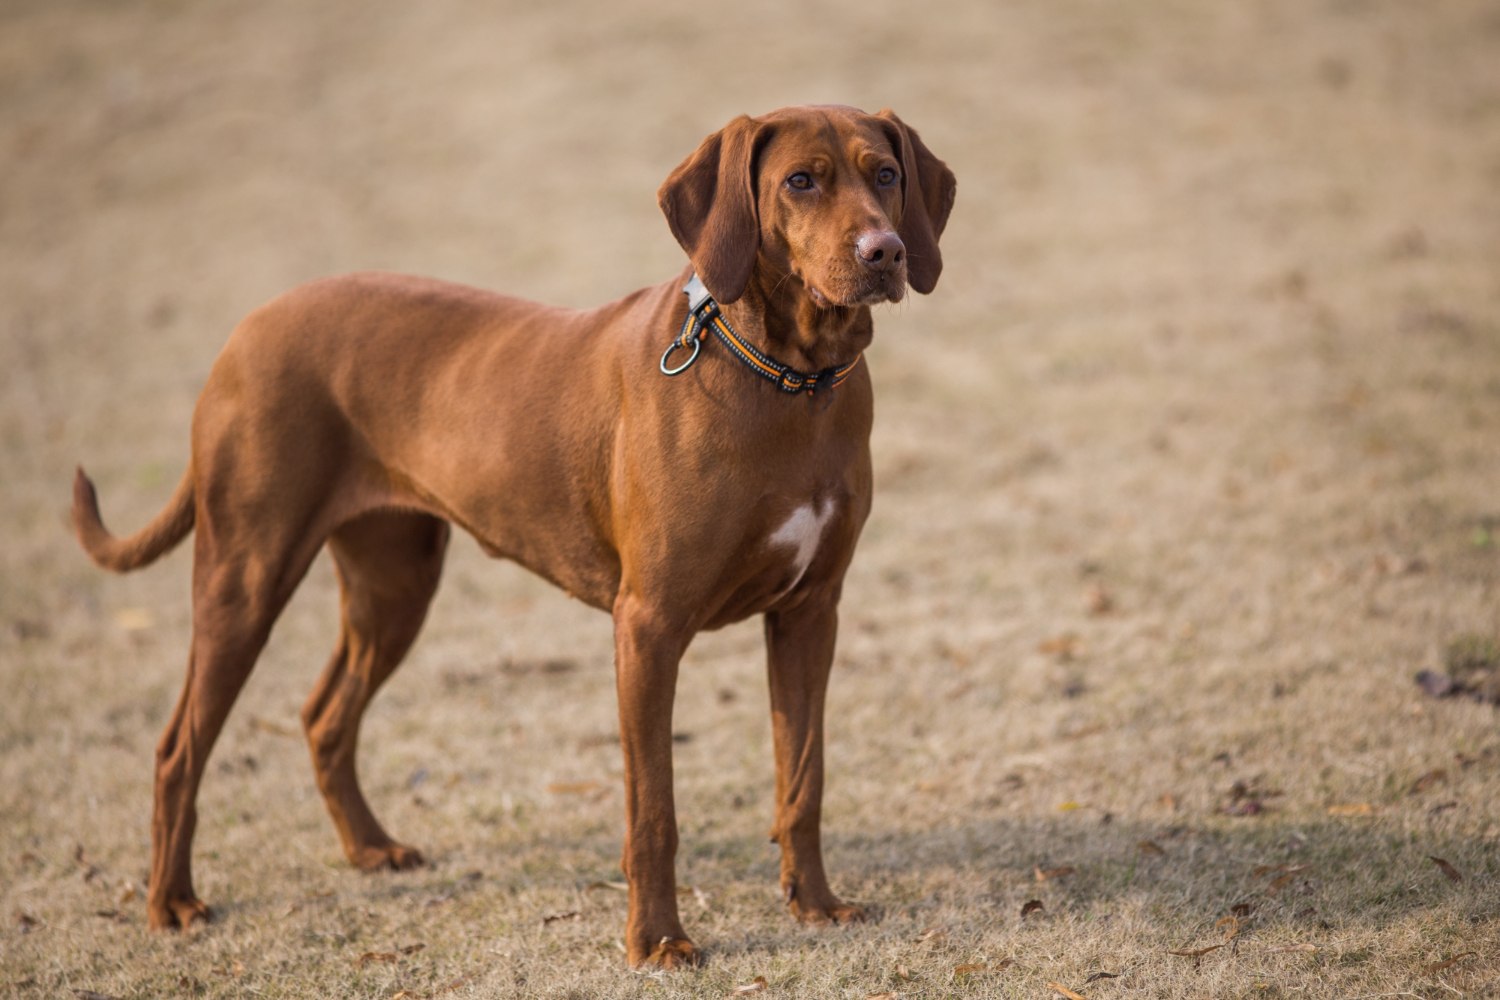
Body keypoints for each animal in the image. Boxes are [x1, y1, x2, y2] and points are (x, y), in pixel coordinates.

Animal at [70, 103, 954, 971]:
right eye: (800, 181)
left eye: (885, 173)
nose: (886, 252)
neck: (787, 378)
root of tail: (246, 329)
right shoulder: (649, 627)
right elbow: (653, 811)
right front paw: (657, 941)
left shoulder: (810, 613)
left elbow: (803, 778)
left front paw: (815, 905)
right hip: (246, 576)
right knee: (179, 747)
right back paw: (172, 902)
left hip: (395, 584)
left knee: (324, 714)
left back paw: (371, 849)